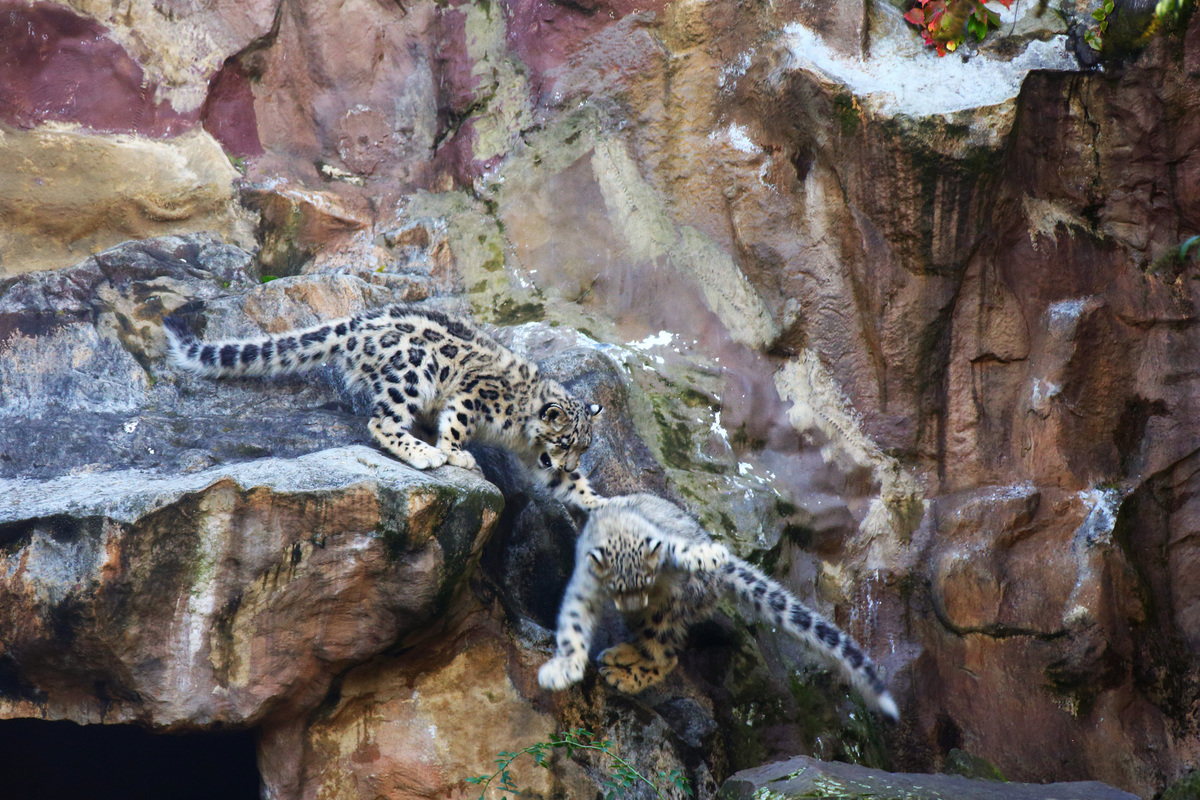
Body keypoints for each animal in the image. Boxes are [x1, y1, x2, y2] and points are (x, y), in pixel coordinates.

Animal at [164, 303, 605, 509]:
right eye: (565, 441)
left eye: (583, 447)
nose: (569, 463)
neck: (521, 435)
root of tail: (355, 323)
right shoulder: (473, 395)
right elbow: (457, 424)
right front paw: (456, 454)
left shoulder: (536, 459)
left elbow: (568, 487)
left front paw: (602, 503)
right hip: (413, 371)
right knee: (382, 422)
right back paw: (424, 452)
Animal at [537, 493, 900, 719]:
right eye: (618, 586)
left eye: (647, 579)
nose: (634, 602)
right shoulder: (585, 587)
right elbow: (574, 623)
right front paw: (563, 669)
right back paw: (619, 652)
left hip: (669, 609)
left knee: (665, 652)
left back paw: (622, 674)